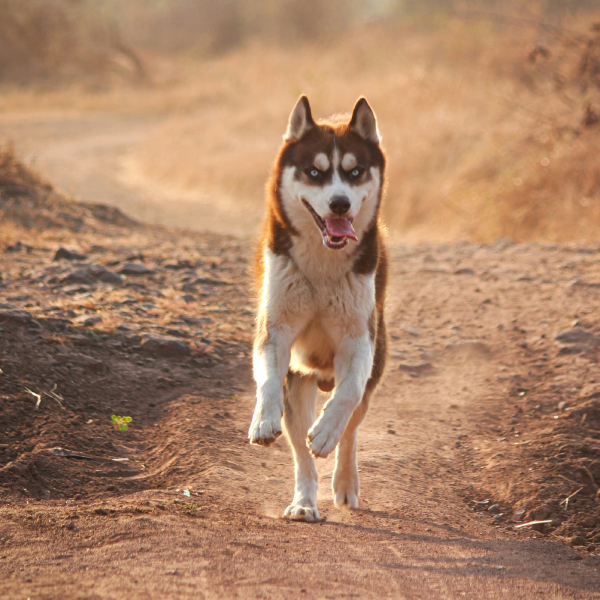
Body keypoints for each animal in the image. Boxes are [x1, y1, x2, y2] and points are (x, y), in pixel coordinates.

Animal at [248, 97, 390, 520]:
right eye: (315, 172)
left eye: (355, 172)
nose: (339, 203)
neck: (322, 269)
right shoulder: (275, 329)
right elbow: (267, 379)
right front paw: (263, 418)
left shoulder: (359, 340)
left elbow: (348, 395)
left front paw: (326, 432)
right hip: (299, 382)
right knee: (301, 454)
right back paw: (303, 503)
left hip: (375, 363)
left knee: (351, 428)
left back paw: (343, 482)